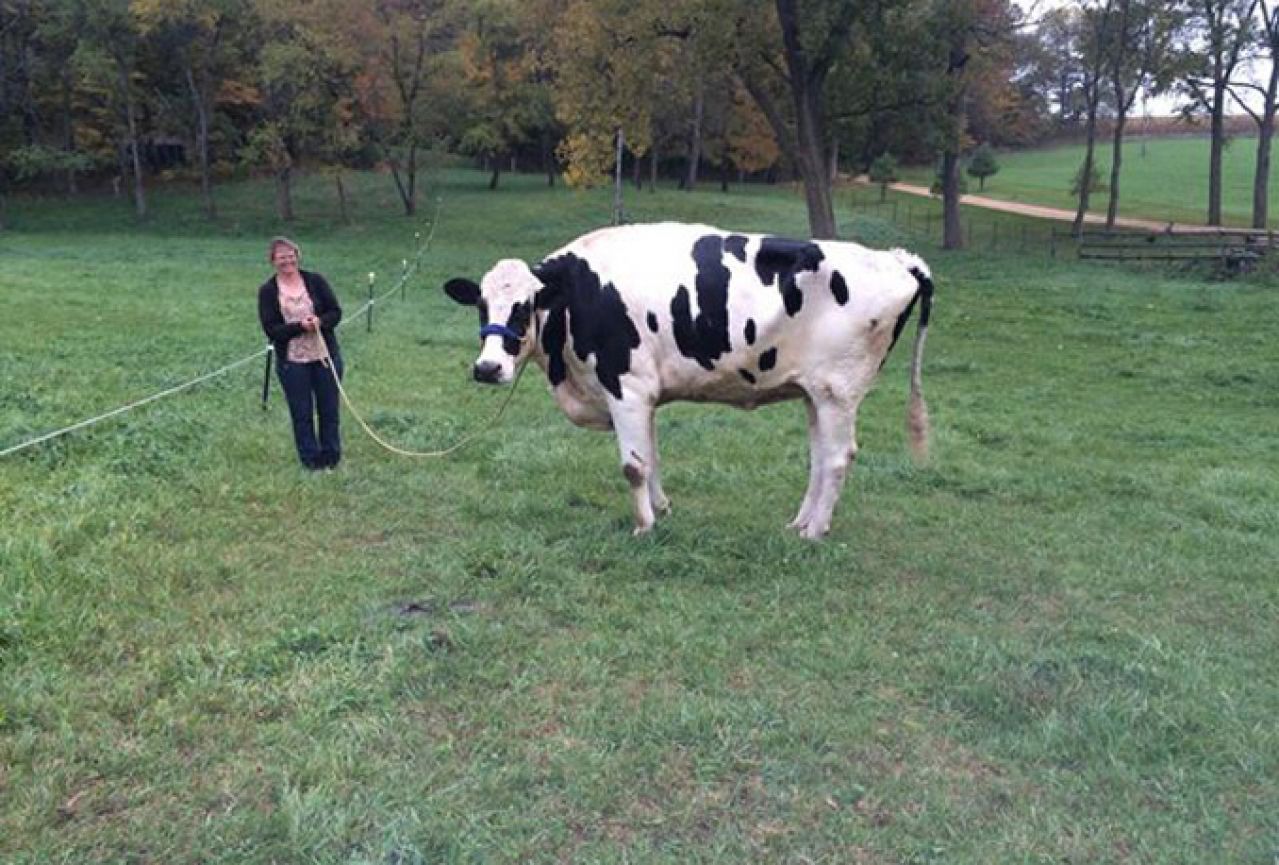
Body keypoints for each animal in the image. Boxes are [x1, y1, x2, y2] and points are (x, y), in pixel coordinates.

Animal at [445, 221, 936, 539]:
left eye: (525, 306)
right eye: (481, 305)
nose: (487, 368)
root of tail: (897, 259)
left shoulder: (625, 386)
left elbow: (633, 465)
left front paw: (644, 527)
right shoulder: (645, 394)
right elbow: (651, 456)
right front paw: (661, 510)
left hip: (838, 392)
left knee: (836, 458)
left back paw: (814, 532)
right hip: (814, 394)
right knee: (819, 458)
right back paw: (799, 523)